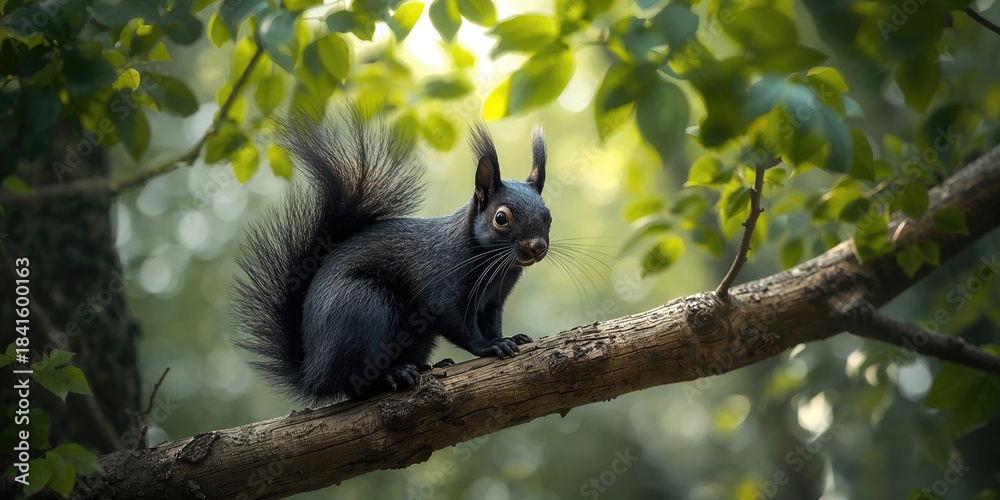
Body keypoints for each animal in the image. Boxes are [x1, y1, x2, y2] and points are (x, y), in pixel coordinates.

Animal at [233, 109, 551, 402]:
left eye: (548, 215)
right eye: (501, 218)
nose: (537, 247)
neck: (495, 266)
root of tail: (312, 373)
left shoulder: (494, 299)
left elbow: (492, 322)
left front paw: (507, 337)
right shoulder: (442, 287)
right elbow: (459, 324)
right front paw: (488, 347)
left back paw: (423, 366)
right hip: (363, 307)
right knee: (355, 384)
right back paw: (393, 375)